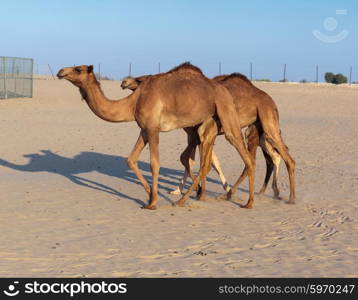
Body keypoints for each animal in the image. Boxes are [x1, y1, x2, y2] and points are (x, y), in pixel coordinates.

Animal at [57, 62, 256, 209]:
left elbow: (155, 164)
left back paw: (248, 202)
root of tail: (223, 89)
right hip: (210, 121)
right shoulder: (144, 129)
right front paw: (148, 194)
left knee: (246, 157)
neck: (132, 103)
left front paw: (152, 202)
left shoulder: (153, 129)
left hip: (226, 112)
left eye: (78, 69)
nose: (60, 71)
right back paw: (184, 200)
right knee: (207, 163)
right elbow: (131, 159)